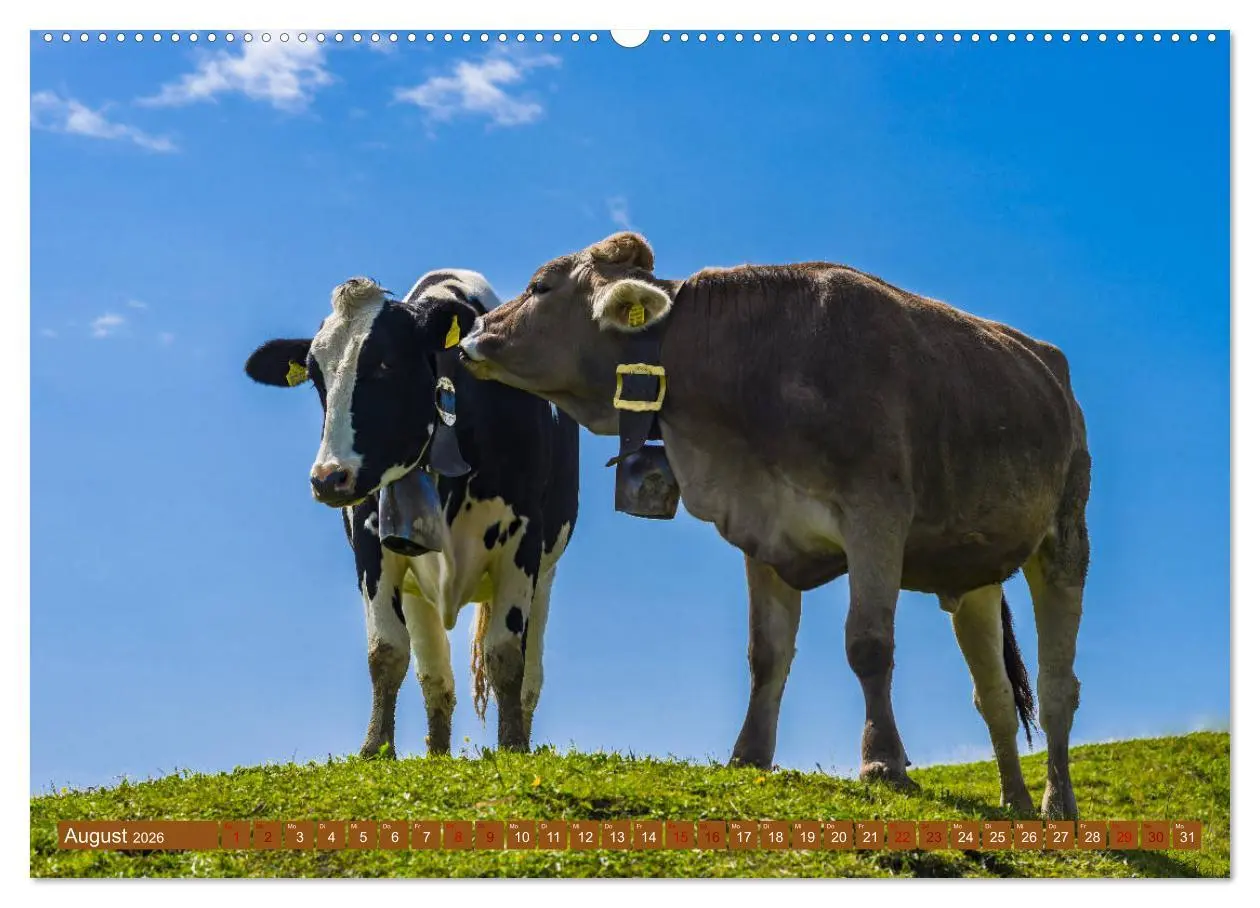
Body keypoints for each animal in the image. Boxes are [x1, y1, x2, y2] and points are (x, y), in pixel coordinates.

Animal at [245, 271, 579, 758]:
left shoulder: (523, 539)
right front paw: (375, 747)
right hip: (417, 585)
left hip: (546, 571)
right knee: (436, 677)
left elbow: (504, 654)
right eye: (315, 376)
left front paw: (513, 746)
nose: (328, 478)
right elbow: (387, 651)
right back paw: (436, 753)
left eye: (386, 363)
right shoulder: (372, 545)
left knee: (530, 674)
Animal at [458, 233, 1090, 819]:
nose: (471, 337)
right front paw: (748, 756)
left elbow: (868, 644)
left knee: (1058, 687)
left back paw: (1059, 805)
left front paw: (883, 763)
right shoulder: (763, 526)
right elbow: (766, 654)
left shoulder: (877, 515)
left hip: (1065, 535)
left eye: (540, 286)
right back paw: (1016, 802)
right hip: (977, 570)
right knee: (996, 694)